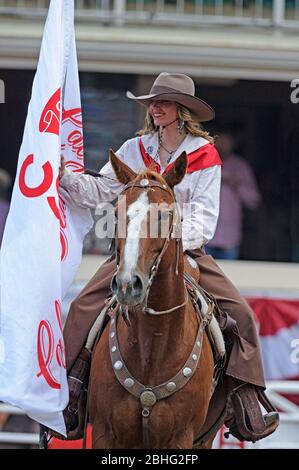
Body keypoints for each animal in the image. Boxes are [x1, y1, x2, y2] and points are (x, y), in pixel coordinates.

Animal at [88, 151, 217, 448]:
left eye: (165, 216)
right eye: (116, 213)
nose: (128, 284)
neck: (153, 343)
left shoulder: (182, 438)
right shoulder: (103, 432)